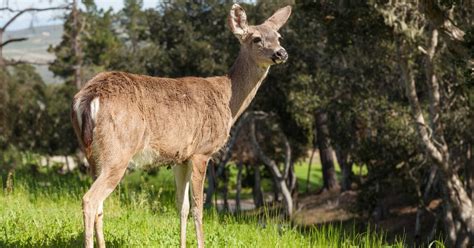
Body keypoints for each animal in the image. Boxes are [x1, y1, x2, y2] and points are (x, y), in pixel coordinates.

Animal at [71, 4, 290, 248]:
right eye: (256, 38)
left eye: (278, 36)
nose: (281, 53)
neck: (228, 100)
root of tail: (88, 97)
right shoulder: (202, 151)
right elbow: (198, 207)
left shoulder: (180, 157)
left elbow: (182, 207)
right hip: (118, 151)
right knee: (90, 200)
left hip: (93, 154)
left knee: (99, 205)